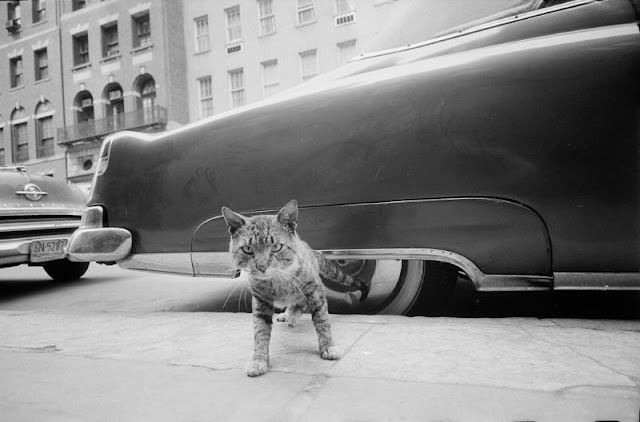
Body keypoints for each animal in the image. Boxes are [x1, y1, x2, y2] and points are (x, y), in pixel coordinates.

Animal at [221, 199, 368, 378]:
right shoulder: (260, 300)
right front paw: (259, 360)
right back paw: (288, 314)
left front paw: (328, 346)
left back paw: (293, 315)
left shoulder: (315, 289)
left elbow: (322, 319)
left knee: (301, 302)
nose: (261, 267)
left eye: (276, 246)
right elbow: (260, 330)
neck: (277, 281)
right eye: (247, 249)